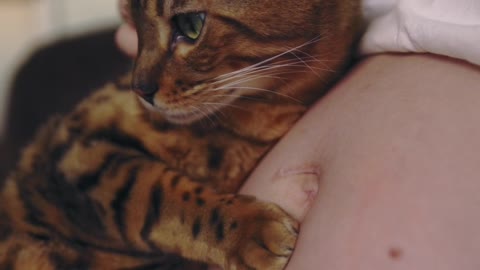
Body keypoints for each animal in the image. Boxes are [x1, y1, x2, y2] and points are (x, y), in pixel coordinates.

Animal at [0, 1, 360, 268]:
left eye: (191, 25)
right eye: (135, 24)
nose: (140, 89)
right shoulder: (76, 151)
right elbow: (154, 193)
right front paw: (250, 227)